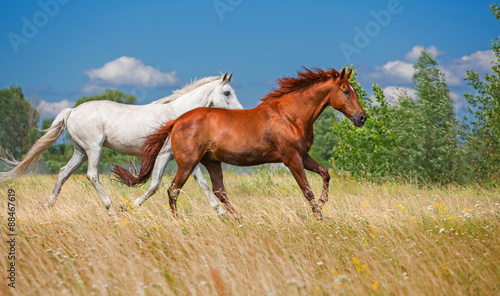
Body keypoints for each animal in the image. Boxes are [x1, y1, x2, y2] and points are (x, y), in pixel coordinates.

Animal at [0, 73, 242, 214]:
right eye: (227, 92)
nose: (240, 113)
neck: (178, 115)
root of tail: (72, 111)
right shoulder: (172, 155)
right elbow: (161, 184)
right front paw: (129, 206)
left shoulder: (182, 158)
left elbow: (199, 184)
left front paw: (220, 212)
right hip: (94, 148)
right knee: (92, 175)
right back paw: (110, 208)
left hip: (80, 152)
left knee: (63, 173)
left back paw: (48, 205)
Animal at [114, 67, 368, 220]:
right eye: (345, 91)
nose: (362, 118)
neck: (289, 115)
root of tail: (177, 120)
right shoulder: (291, 159)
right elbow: (307, 191)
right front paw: (319, 217)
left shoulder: (303, 156)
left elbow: (325, 174)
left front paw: (323, 205)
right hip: (188, 163)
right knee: (173, 190)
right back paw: (179, 221)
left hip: (211, 162)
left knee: (218, 191)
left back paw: (237, 219)